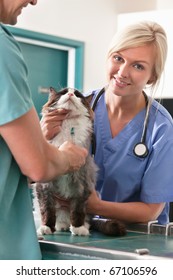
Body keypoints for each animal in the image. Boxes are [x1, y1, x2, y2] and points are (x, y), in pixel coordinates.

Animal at [33, 87, 125, 236]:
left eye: (77, 95)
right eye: (63, 92)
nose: (70, 94)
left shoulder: (82, 182)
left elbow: (78, 210)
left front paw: (78, 228)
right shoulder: (45, 185)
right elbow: (47, 209)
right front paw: (46, 227)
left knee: (85, 218)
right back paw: (61, 226)